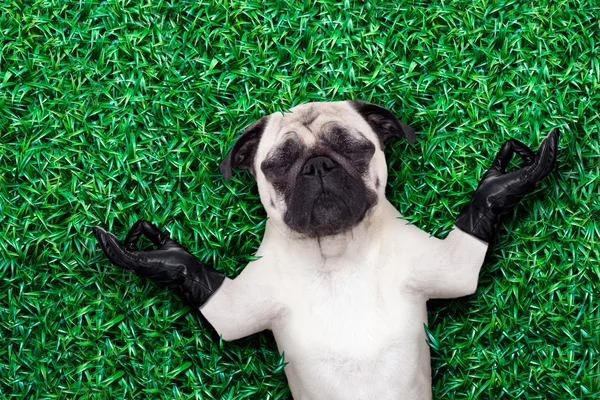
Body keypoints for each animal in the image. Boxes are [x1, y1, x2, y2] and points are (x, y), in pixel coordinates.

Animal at [92, 100, 556, 400]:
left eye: (354, 146)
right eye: (278, 163)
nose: (318, 165)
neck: (336, 249)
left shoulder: (448, 266)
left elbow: (479, 221)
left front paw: (502, 183)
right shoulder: (235, 310)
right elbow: (192, 278)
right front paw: (160, 257)